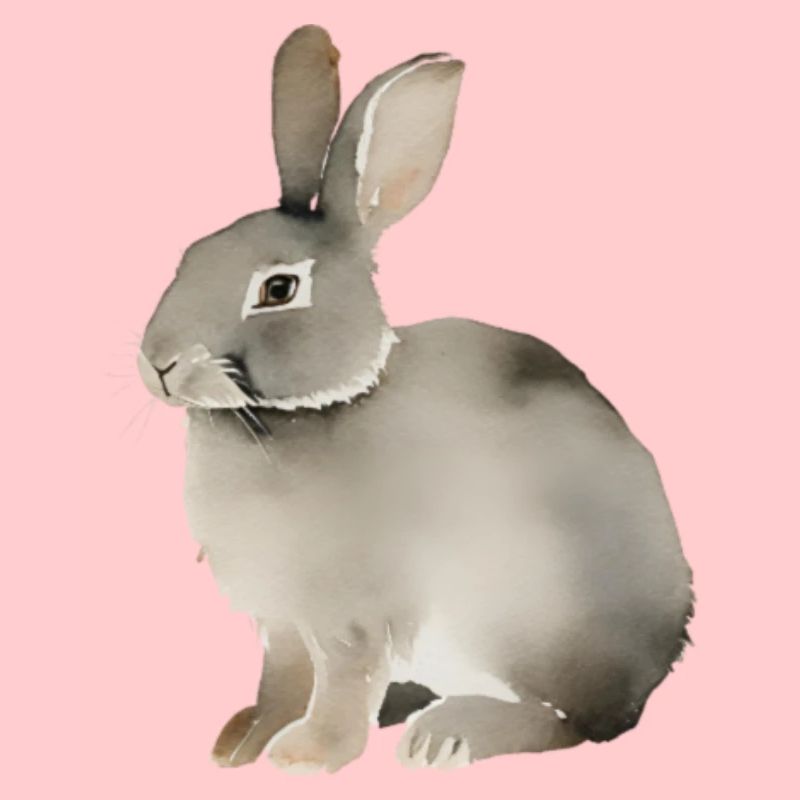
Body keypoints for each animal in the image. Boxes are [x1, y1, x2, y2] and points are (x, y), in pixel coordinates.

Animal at [138, 25, 693, 773]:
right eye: (192, 253)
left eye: (278, 289)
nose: (157, 363)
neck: (297, 414)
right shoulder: (279, 623)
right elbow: (282, 680)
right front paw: (241, 743)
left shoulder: (351, 613)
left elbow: (341, 682)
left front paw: (307, 754)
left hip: (519, 615)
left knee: (568, 721)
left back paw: (449, 733)